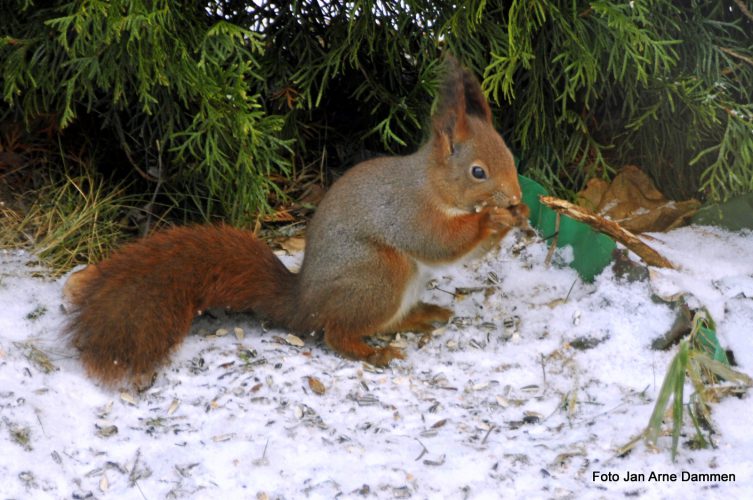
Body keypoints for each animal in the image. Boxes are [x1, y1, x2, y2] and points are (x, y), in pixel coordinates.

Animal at [63, 58, 528, 386]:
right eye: (478, 172)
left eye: (509, 153)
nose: (516, 198)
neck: (432, 185)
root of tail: (304, 305)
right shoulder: (408, 211)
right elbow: (438, 242)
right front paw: (491, 219)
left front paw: (515, 218)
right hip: (380, 274)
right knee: (338, 333)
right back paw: (373, 353)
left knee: (384, 323)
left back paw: (423, 315)